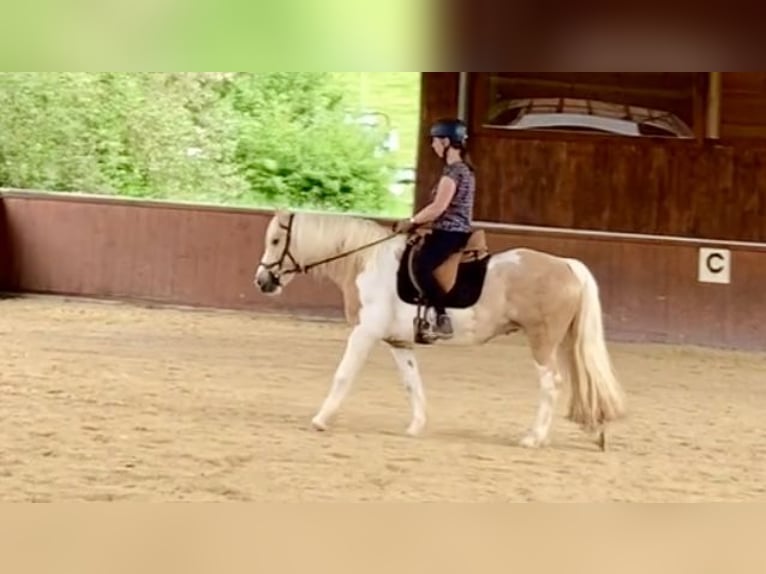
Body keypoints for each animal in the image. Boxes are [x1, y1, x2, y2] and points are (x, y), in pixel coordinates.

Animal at [253, 210, 626, 450]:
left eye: (276, 240)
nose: (262, 281)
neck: (367, 263)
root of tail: (567, 265)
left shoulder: (364, 333)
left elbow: (343, 375)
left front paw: (320, 419)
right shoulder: (398, 342)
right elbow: (411, 383)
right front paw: (416, 426)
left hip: (542, 340)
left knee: (552, 384)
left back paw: (534, 438)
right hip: (565, 340)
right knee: (584, 381)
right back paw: (596, 432)